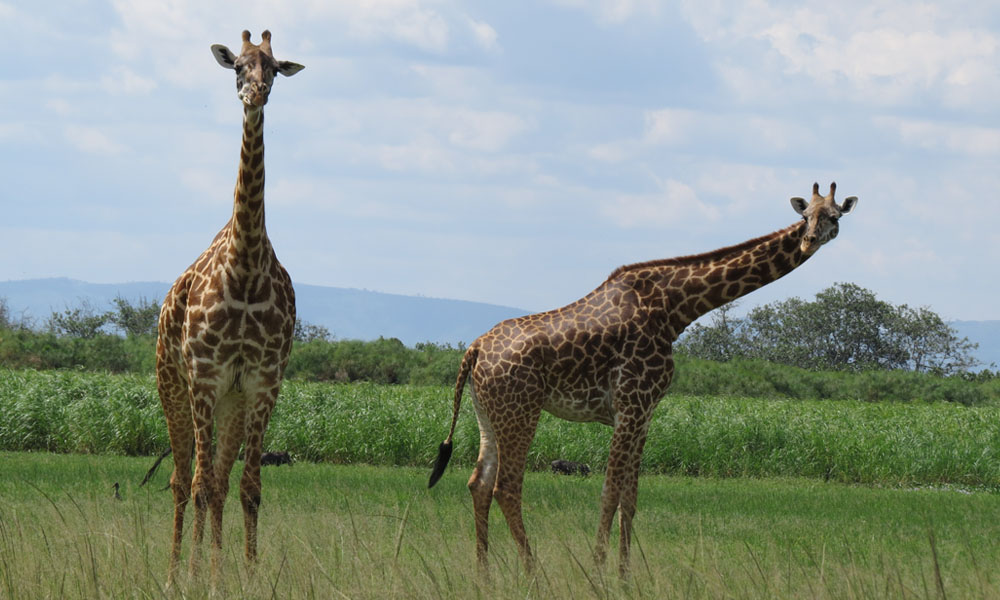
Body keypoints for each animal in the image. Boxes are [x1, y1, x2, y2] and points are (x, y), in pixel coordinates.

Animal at [154, 29, 302, 584]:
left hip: (230, 403)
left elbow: (248, 489)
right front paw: (198, 577)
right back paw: (177, 570)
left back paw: (209, 566)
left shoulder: (260, 383)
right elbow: (199, 486)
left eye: (274, 68)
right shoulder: (204, 377)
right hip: (172, 386)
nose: (254, 93)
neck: (245, 270)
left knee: (216, 480)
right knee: (183, 480)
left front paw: (247, 574)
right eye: (238, 66)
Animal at [426, 184, 856, 576]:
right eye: (806, 215)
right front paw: (598, 571)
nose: (808, 241)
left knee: (479, 483)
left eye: (834, 216)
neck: (675, 309)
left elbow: (630, 497)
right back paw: (533, 573)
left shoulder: (645, 413)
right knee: (507, 487)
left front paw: (624, 574)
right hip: (521, 412)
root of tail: (474, 350)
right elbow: (609, 492)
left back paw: (484, 572)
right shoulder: (630, 406)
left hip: (488, 414)